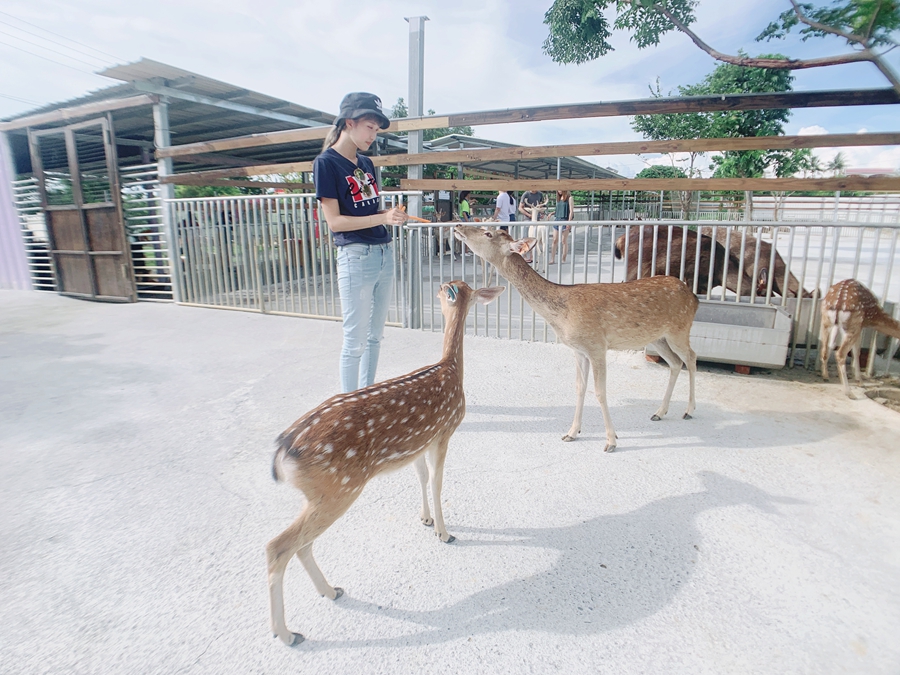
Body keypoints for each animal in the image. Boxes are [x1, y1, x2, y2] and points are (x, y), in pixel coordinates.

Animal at [268, 278, 506, 644]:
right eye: (449, 286)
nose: (439, 287)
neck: (450, 368)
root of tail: (283, 453)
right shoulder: (445, 430)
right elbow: (438, 481)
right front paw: (445, 533)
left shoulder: (419, 444)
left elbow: (422, 477)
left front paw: (425, 520)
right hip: (339, 489)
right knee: (279, 546)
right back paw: (287, 633)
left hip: (319, 494)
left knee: (301, 544)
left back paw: (330, 591)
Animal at [454, 227, 700, 454]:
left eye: (488, 233)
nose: (458, 227)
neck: (561, 315)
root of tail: (693, 297)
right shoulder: (579, 350)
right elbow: (580, 388)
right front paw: (572, 432)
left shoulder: (597, 345)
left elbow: (600, 392)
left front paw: (611, 441)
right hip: (658, 337)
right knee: (676, 362)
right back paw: (659, 412)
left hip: (679, 329)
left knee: (691, 357)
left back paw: (689, 410)